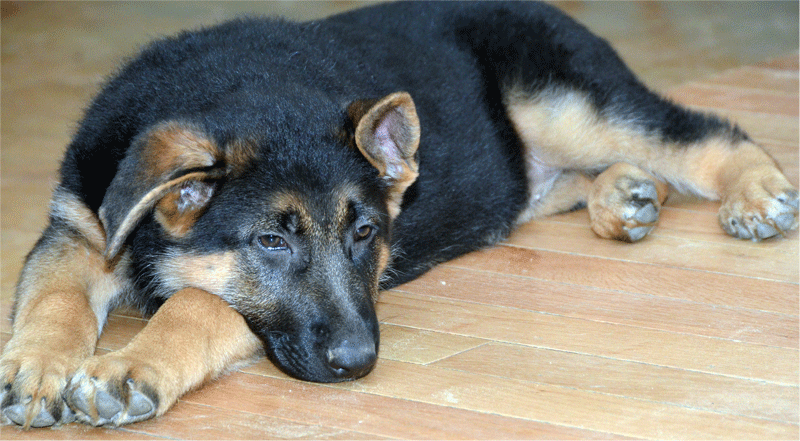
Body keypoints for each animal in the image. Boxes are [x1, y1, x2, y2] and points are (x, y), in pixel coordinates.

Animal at [3, 0, 796, 426]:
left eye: (365, 234)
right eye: (269, 241)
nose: (360, 363)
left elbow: (200, 301)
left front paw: (128, 366)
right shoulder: (78, 229)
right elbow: (54, 299)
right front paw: (33, 369)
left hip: (564, 104)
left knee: (700, 131)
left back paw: (755, 190)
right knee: (550, 181)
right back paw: (626, 194)